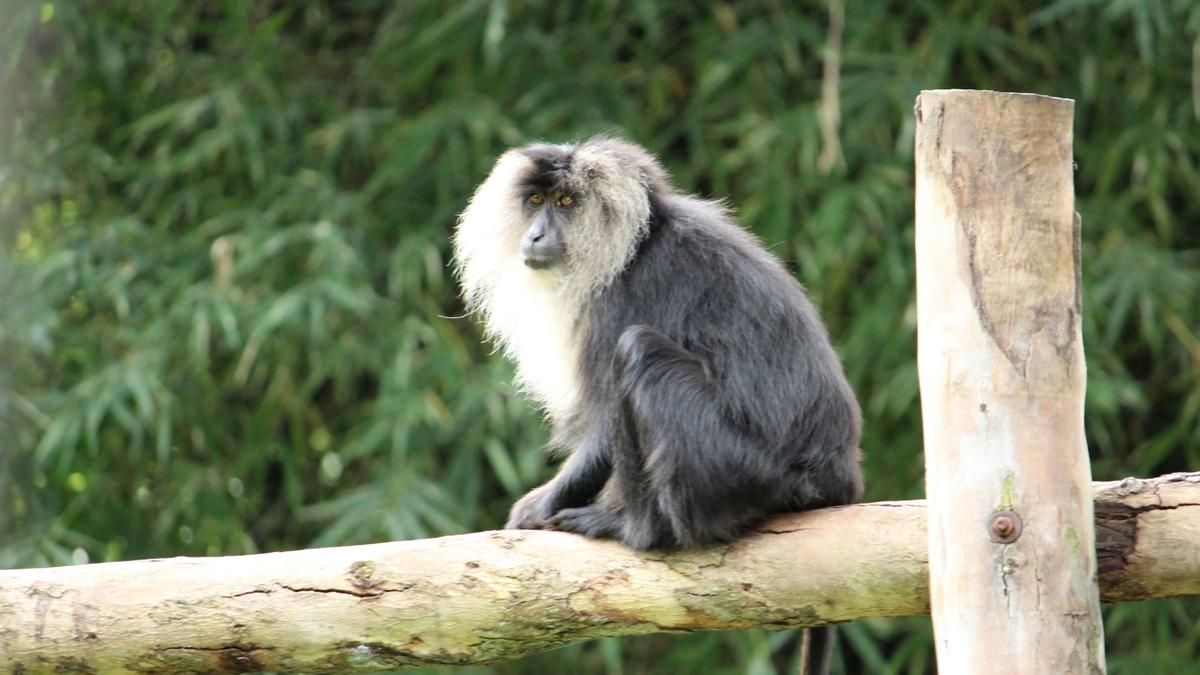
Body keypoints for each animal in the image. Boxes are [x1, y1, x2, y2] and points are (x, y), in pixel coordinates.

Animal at [454, 137, 862, 674]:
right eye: (536, 201)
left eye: (567, 203)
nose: (536, 234)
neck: (633, 247)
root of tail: (840, 474)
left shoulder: (622, 298)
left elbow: (602, 428)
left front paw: (541, 504)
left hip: (748, 470)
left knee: (639, 353)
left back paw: (637, 530)